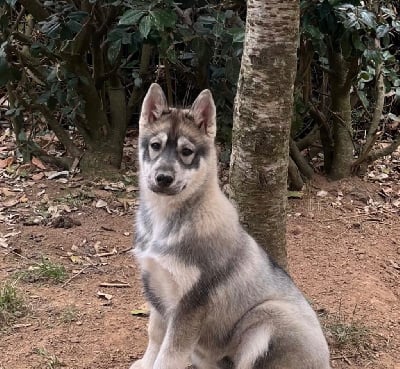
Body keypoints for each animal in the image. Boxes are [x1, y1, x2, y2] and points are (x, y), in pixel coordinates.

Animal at [131, 83, 332, 368]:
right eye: (155, 146)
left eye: (186, 152)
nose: (163, 178)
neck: (166, 219)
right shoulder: (156, 286)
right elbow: (155, 335)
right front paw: (145, 362)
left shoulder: (191, 305)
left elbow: (170, 354)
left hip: (268, 316)